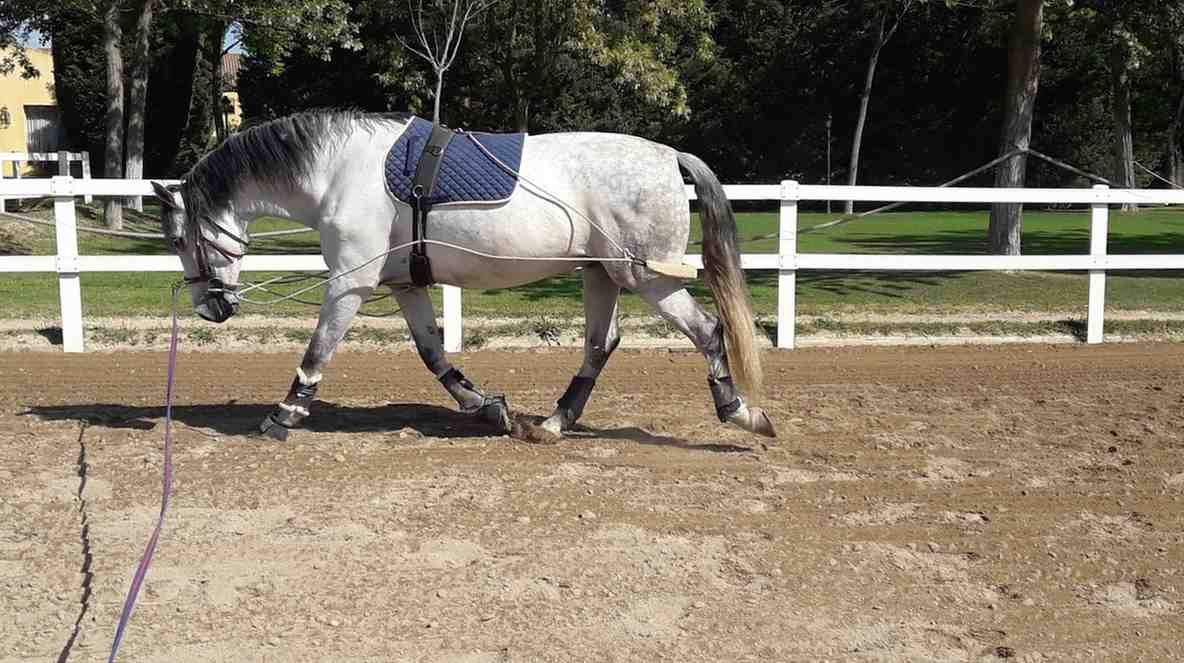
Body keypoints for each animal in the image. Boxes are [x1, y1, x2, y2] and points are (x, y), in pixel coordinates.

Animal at [151, 110, 775, 440]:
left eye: (178, 239)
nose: (211, 307)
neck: (339, 172)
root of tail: (668, 154)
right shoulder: (406, 284)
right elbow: (433, 355)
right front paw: (485, 406)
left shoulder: (349, 283)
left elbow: (318, 350)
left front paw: (285, 414)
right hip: (603, 275)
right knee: (601, 345)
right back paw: (554, 421)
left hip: (647, 278)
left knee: (708, 333)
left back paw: (740, 412)